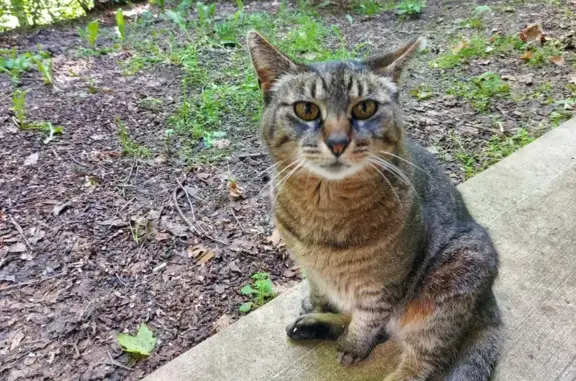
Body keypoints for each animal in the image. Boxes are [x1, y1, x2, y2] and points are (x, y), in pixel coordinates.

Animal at [245, 30, 502, 380]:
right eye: (307, 110)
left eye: (365, 108)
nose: (338, 142)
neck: (324, 210)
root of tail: (488, 303)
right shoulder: (310, 267)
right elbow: (321, 291)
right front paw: (317, 307)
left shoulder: (382, 285)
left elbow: (367, 321)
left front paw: (354, 344)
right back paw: (314, 325)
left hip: (455, 277)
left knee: (423, 360)